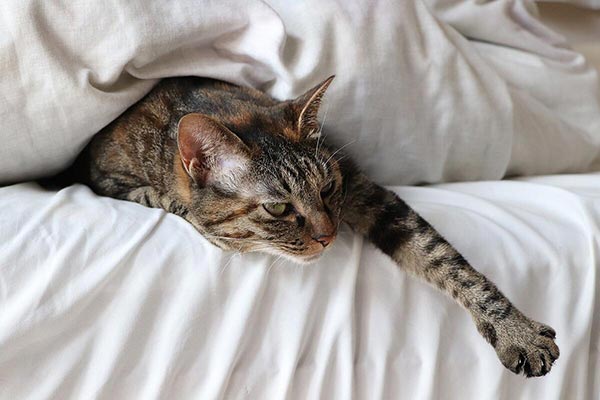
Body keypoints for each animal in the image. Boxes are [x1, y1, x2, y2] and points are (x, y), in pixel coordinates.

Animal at [64, 76, 556, 378]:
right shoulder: (104, 175)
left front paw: (516, 329)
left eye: (327, 188)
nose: (328, 236)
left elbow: (442, 258)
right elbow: (157, 198)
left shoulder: (365, 191)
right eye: (278, 208)